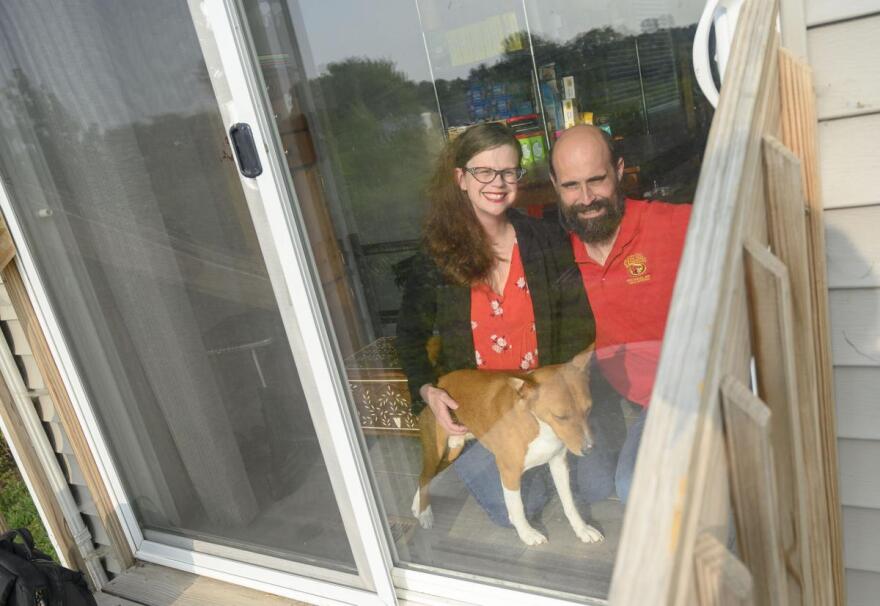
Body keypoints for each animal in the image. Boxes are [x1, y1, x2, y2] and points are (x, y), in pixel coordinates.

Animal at [410, 350, 600, 548]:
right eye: (560, 416)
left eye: (588, 409)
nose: (589, 449)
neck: (539, 425)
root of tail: (440, 381)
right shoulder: (509, 472)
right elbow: (517, 508)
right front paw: (527, 534)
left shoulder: (559, 463)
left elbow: (569, 502)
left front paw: (582, 529)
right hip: (438, 450)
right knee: (424, 476)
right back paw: (424, 512)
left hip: (453, 450)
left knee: (430, 476)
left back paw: (418, 505)